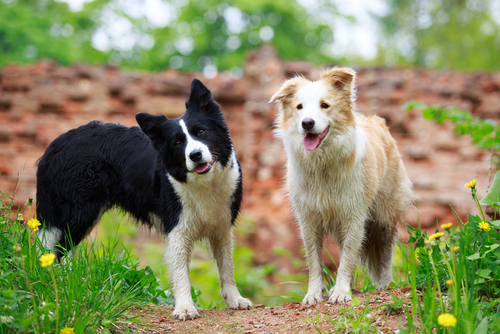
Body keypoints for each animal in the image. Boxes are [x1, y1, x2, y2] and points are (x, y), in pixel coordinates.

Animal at [36, 79, 252, 320]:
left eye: (201, 131)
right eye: (177, 143)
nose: (195, 155)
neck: (205, 183)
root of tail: (55, 145)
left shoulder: (222, 227)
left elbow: (227, 267)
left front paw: (235, 299)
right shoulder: (177, 229)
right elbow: (181, 273)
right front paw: (185, 308)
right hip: (78, 213)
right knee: (56, 249)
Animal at [272, 66, 412, 304]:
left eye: (324, 105)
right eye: (299, 107)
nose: (307, 123)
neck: (322, 163)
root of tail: (377, 121)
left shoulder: (354, 215)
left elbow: (347, 257)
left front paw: (341, 292)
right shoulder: (308, 218)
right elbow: (314, 260)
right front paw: (314, 294)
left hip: (383, 215)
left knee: (385, 250)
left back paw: (385, 284)